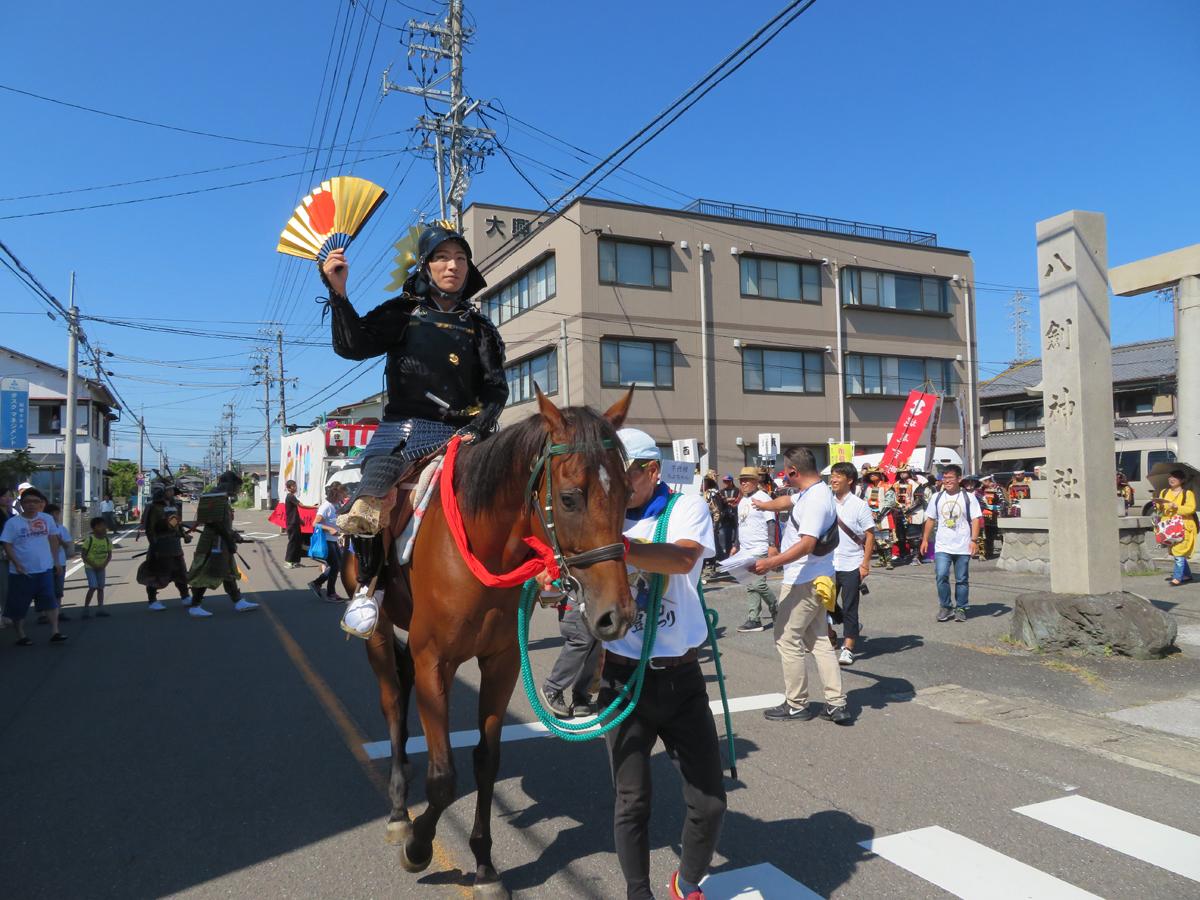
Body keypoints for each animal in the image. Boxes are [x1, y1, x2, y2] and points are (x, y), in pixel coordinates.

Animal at [343, 391, 633, 897]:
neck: (482, 546)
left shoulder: (501, 662)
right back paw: (399, 814)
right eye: (570, 498)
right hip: (377, 634)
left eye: (626, 494)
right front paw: (419, 847)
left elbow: (486, 761)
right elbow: (443, 777)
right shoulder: (434, 660)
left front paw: (484, 865)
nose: (614, 615)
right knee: (394, 707)